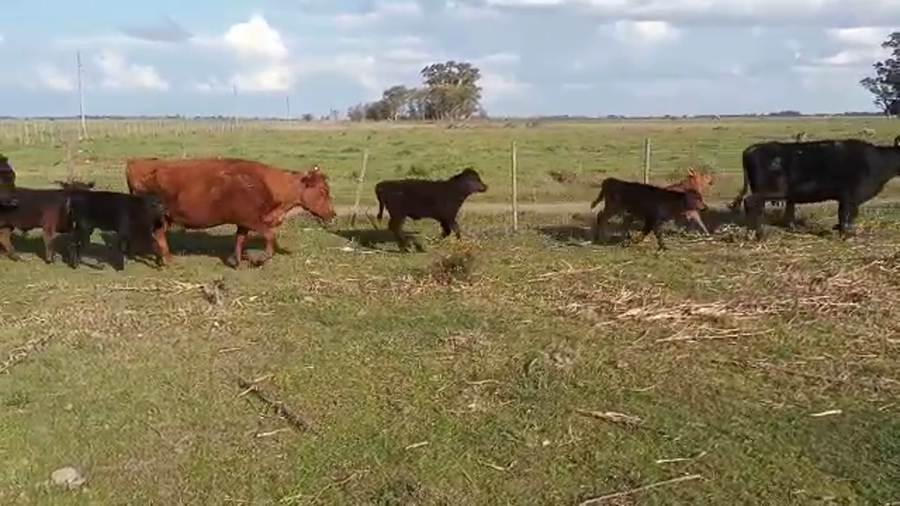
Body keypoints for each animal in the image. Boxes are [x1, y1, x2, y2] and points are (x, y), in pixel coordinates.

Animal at [124, 157, 336, 267]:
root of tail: (137, 161)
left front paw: (236, 261)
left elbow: (240, 240)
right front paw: (259, 259)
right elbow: (270, 237)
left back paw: (164, 258)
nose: (332, 215)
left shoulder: (243, 224)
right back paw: (162, 259)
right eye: (323, 191)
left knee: (157, 234)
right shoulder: (254, 221)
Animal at [741, 138, 900, 240]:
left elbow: (847, 216)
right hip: (769, 191)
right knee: (750, 202)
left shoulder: (847, 198)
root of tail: (752, 149)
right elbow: (846, 216)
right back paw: (757, 235)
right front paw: (845, 235)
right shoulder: (850, 196)